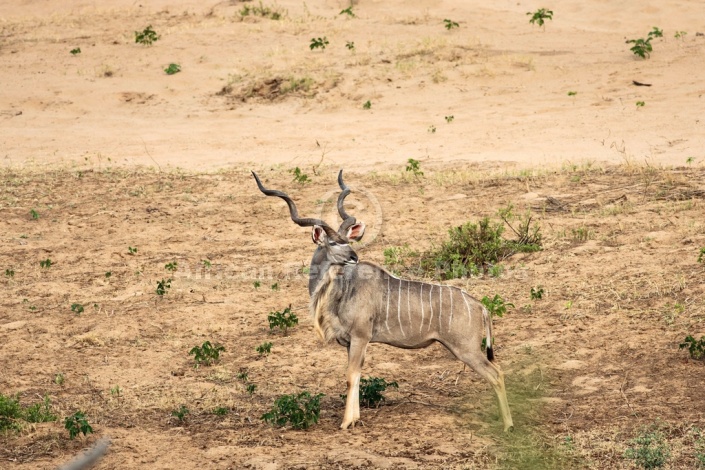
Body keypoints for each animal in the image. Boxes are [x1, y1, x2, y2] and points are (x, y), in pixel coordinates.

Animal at [253, 171, 512, 432]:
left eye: (348, 240)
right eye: (334, 242)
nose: (354, 256)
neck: (342, 289)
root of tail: (480, 306)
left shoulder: (361, 337)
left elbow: (350, 376)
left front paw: (346, 422)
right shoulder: (350, 342)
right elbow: (357, 374)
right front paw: (356, 418)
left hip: (466, 349)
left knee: (496, 374)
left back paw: (508, 425)